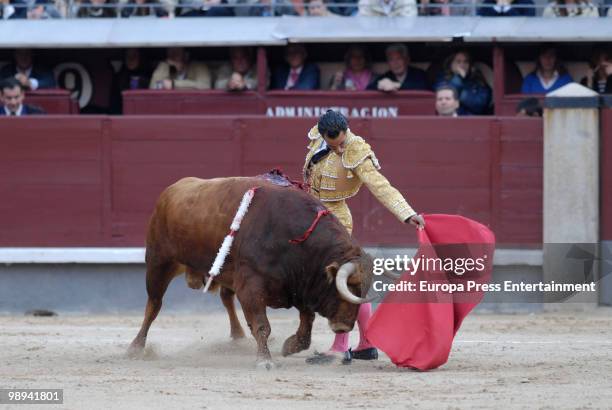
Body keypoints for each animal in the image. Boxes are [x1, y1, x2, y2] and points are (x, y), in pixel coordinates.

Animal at [128, 176, 378, 368]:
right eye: (344, 290)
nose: (344, 326)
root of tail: (172, 189)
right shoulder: (251, 286)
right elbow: (262, 325)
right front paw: (265, 360)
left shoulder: (299, 286)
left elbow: (307, 322)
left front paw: (290, 346)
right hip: (159, 262)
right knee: (154, 304)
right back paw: (136, 347)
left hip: (223, 272)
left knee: (226, 298)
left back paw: (238, 336)